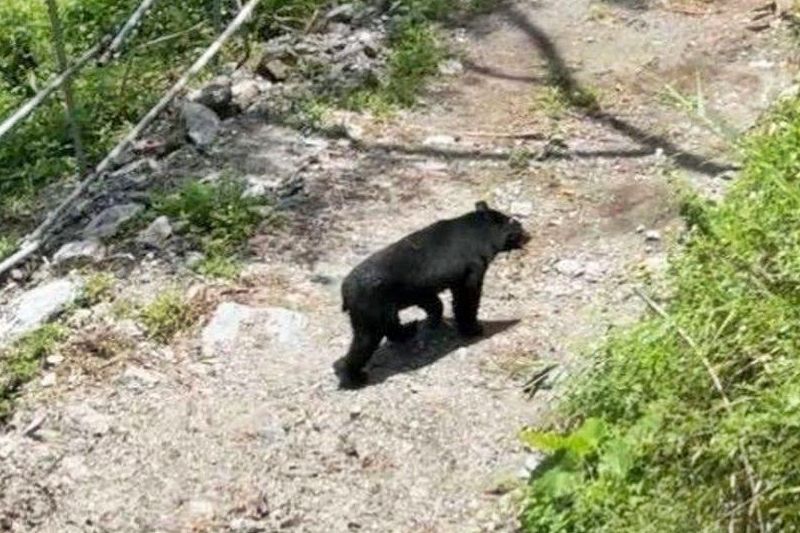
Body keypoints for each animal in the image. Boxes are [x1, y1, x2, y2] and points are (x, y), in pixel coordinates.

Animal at [332, 200, 532, 386]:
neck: (481, 234)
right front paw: (473, 328)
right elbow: (467, 300)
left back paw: (409, 329)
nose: (530, 235)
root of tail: (345, 292)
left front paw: (435, 321)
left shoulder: (425, 288)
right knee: (364, 342)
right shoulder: (471, 272)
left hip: (383, 309)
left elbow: (436, 303)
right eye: (517, 225)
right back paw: (356, 378)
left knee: (391, 326)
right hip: (369, 310)